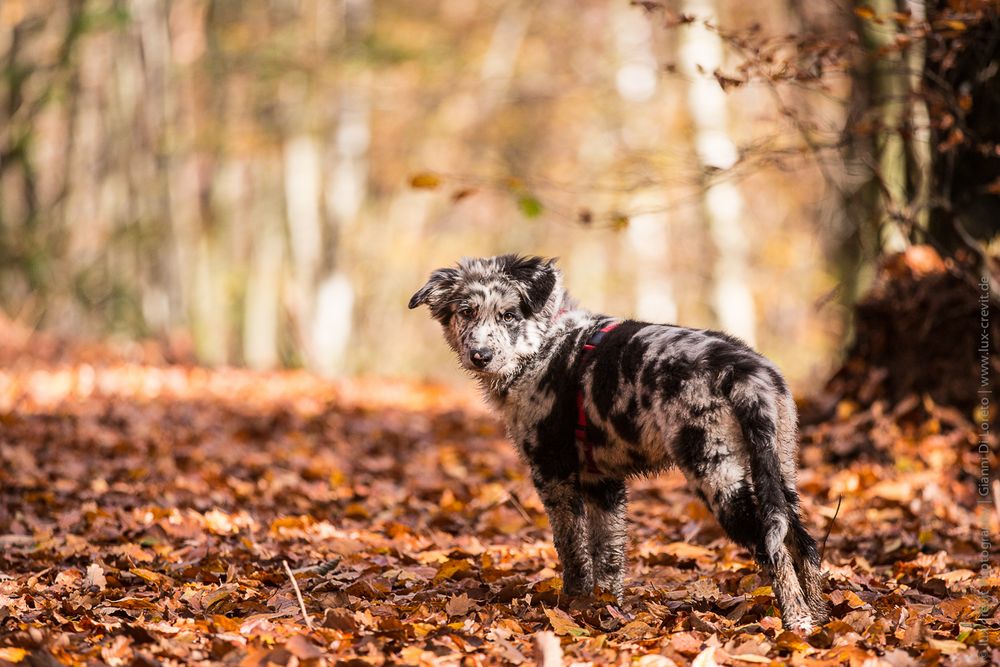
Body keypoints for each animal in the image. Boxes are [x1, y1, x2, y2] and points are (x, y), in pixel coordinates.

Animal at [408, 254, 828, 632]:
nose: (480, 356)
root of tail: (744, 371)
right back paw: (822, 618)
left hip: (716, 473)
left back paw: (797, 623)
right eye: (466, 312)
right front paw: (605, 609)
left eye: (509, 316)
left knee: (773, 549)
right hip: (779, 468)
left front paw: (572, 607)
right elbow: (608, 557)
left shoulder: (554, 474)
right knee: (802, 542)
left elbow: (573, 552)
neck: (543, 345)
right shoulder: (602, 483)